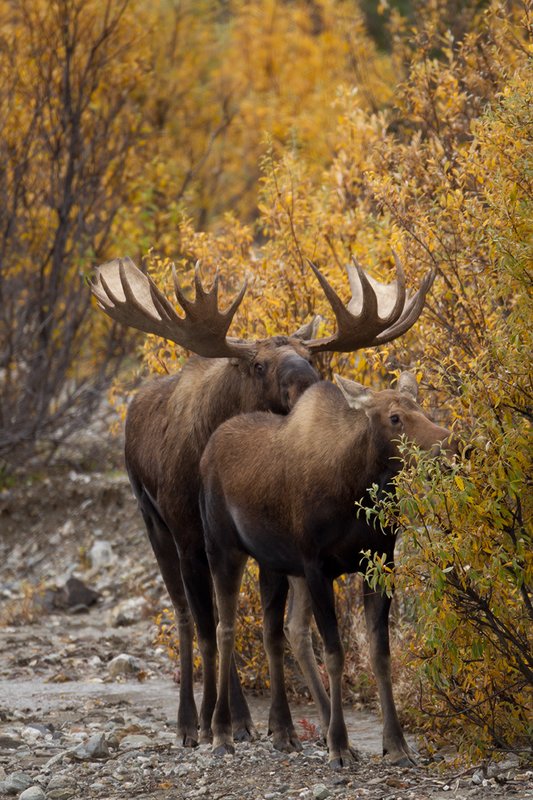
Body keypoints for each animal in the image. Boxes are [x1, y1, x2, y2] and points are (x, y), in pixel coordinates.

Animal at [89, 253, 434, 750]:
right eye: (257, 365)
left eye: (310, 356)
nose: (311, 385)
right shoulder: (192, 536)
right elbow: (209, 627)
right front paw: (209, 722)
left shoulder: (272, 544)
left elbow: (271, 630)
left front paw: (279, 724)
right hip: (155, 524)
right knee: (187, 616)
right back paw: (195, 719)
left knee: (269, 625)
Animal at [199, 373, 459, 767]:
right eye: (394, 417)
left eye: (422, 407)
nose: (451, 447)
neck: (357, 490)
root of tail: (207, 448)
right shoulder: (317, 566)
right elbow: (335, 655)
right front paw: (338, 744)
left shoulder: (379, 563)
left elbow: (380, 655)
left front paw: (395, 745)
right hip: (223, 548)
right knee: (225, 628)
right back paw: (223, 732)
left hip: (277, 564)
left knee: (282, 631)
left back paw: (286, 731)